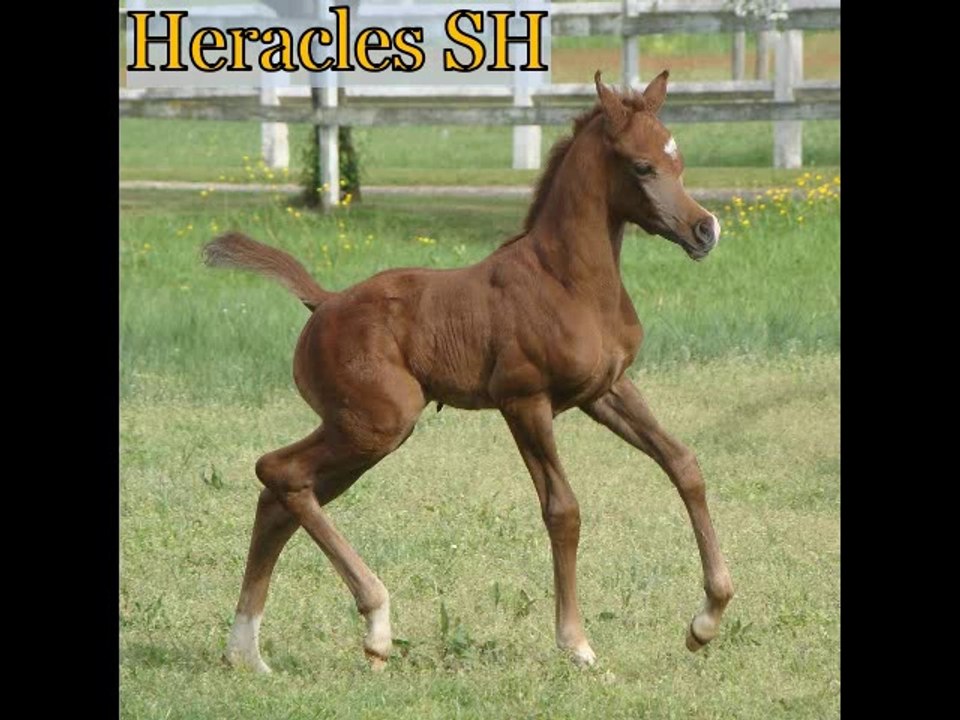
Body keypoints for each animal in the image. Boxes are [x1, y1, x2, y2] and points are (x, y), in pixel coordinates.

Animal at [205, 70, 733, 672]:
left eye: (679, 160)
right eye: (642, 167)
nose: (705, 230)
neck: (568, 281)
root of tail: (325, 301)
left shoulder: (606, 391)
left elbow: (683, 464)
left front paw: (706, 620)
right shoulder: (524, 401)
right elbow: (563, 509)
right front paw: (575, 642)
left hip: (359, 433)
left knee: (280, 497)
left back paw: (246, 650)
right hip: (378, 424)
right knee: (278, 471)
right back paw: (376, 623)